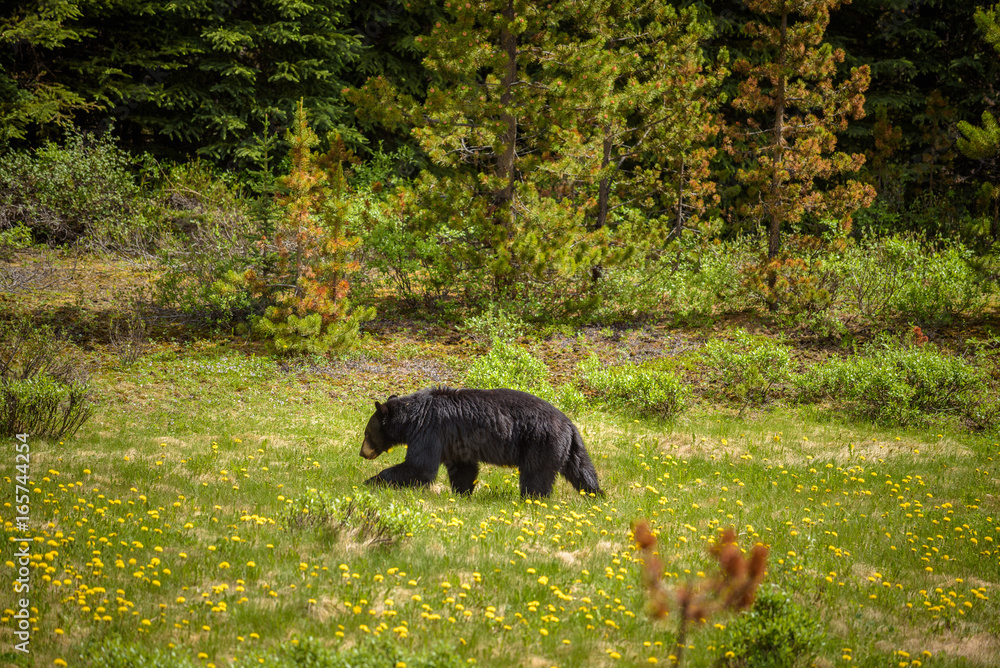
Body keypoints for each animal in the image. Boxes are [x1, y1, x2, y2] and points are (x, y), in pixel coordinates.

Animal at [359, 386, 602, 498]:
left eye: (366, 434)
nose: (362, 453)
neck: (414, 415)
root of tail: (569, 424)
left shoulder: (431, 430)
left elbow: (420, 466)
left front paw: (370, 482)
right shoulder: (454, 441)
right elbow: (463, 468)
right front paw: (461, 493)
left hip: (540, 442)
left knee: (536, 475)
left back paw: (532, 500)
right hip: (570, 447)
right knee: (582, 470)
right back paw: (596, 495)